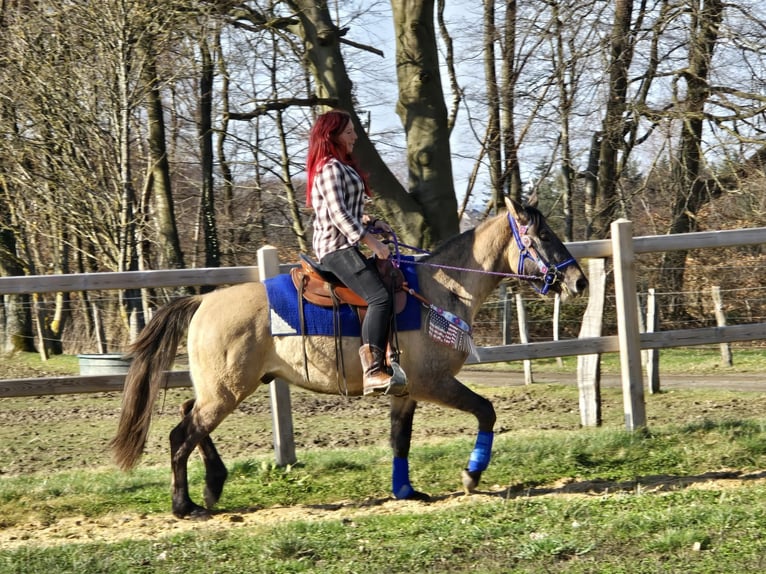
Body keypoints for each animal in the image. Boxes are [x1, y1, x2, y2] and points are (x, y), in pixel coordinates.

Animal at [110, 197, 588, 519]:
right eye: (544, 236)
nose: (579, 282)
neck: (443, 290)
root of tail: (203, 302)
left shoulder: (405, 391)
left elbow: (400, 440)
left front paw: (406, 492)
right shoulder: (435, 383)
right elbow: (486, 411)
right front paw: (471, 475)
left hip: (222, 389)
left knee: (187, 414)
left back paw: (212, 485)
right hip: (227, 391)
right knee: (181, 434)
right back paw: (184, 504)